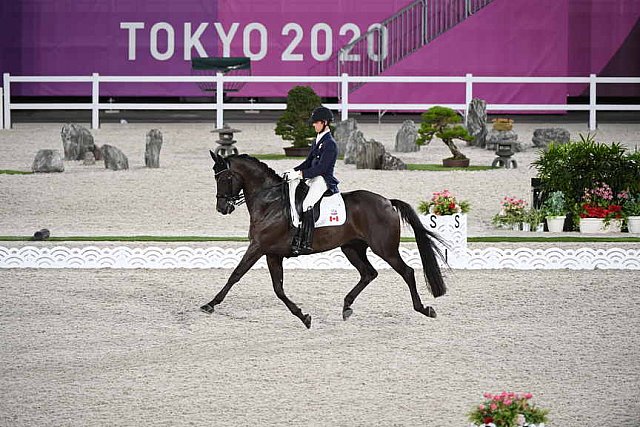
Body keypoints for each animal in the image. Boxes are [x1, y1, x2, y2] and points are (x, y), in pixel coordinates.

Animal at [202, 152, 448, 330]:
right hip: (351, 248)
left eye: (224, 177)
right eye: (215, 177)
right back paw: (346, 307)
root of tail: (387, 201)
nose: (222, 208)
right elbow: (278, 289)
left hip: (384, 249)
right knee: (368, 273)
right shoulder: (272, 253)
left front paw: (210, 304)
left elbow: (236, 274)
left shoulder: (258, 247)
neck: (270, 202)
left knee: (406, 272)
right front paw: (303, 317)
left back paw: (424, 309)